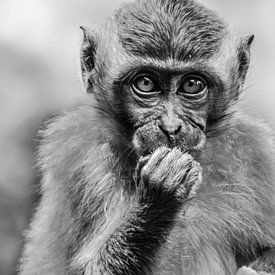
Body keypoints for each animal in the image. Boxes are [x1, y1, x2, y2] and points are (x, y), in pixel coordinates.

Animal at [18, 0, 275, 274]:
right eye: (145, 83)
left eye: (192, 85)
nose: (170, 127)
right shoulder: (81, 158)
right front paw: (159, 197)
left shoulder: (256, 151)